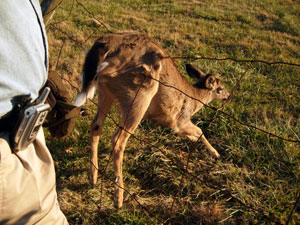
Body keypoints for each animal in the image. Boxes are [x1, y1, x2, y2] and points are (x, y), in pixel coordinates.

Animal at [73, 32, 230, 208]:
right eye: (220, 89)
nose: (229, 96)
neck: (195, 98)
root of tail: (107, 44)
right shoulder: (179, 120)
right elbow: (200, 130)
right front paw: (215, 153)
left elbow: (195, 133)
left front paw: (196, 143)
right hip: (139, 93)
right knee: (118, 139)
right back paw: (118, 197)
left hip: (105, 90)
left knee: (96, 125)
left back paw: (92, 176)